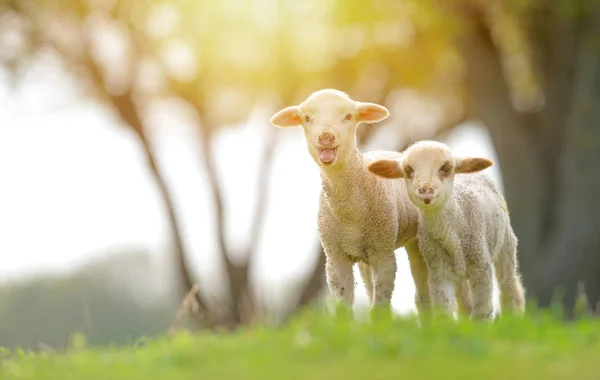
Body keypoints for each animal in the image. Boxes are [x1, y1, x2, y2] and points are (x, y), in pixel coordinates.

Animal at [270, 90, 434, 314]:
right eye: (307, 118)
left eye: (348, 116)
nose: (326, 137)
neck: (350, 213)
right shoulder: (335, 258)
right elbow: (344, 307)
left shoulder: (384, 253)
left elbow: (378, 308)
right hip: (367, 256)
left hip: (416, 240)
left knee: (424, 295)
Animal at [366, 140, 524, 320]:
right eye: (408, 170)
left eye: (446, 168)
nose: (425, 190)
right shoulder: (438, 272)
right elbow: (444, 312)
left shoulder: (481, 266)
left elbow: (481, 314)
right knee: (465, 302)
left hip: (506, 244)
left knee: (509, 286)